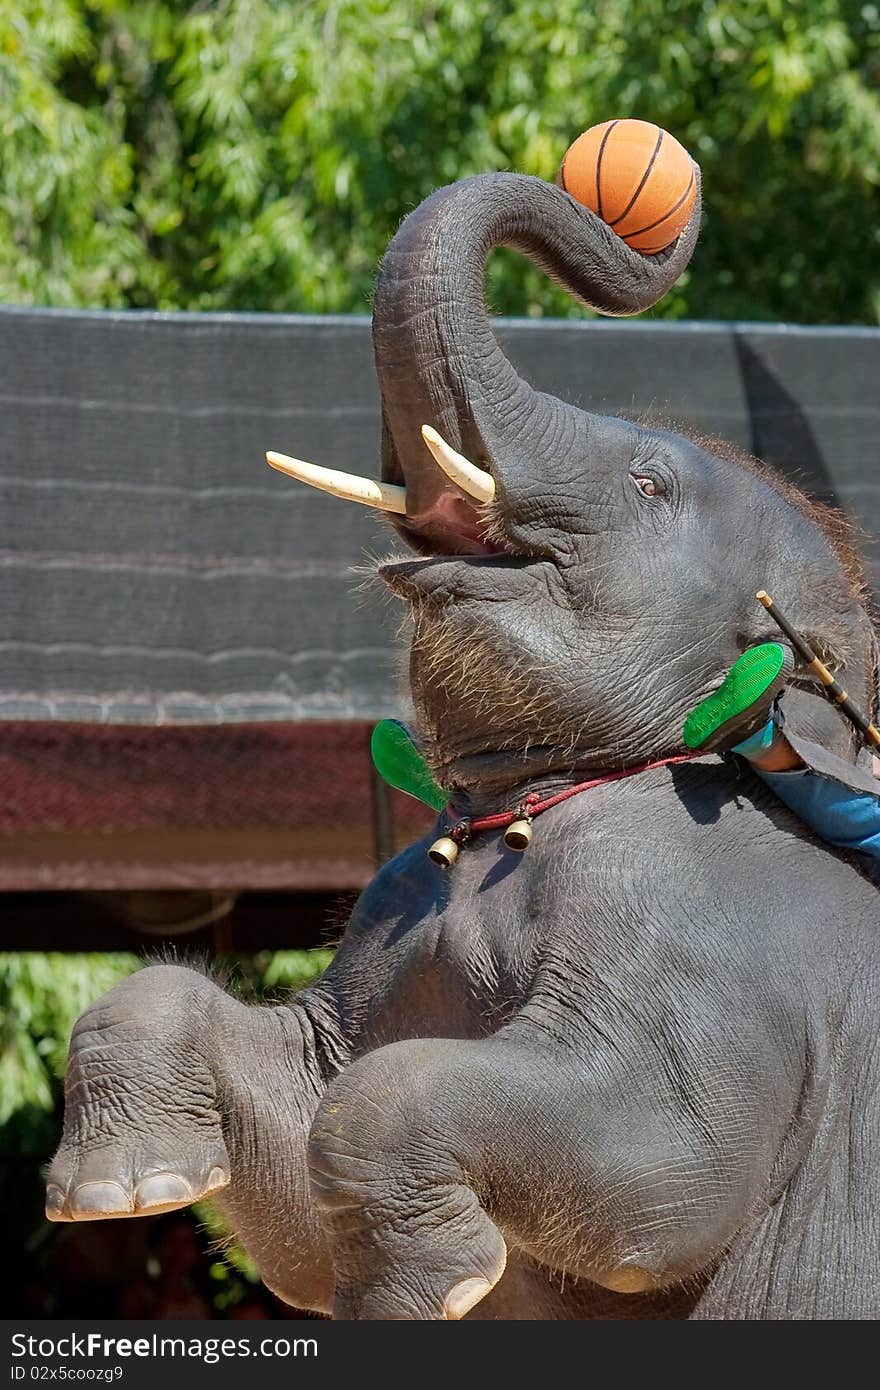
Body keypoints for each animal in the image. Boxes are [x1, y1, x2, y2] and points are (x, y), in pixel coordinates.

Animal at [46, 162, 878, 1312]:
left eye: (647, 485)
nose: (640, 218)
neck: (515, 816)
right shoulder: (386, 932)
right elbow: (295, 1160)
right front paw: (117, 1190)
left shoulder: (721, 958)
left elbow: (659, 1172)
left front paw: (414, 1298)